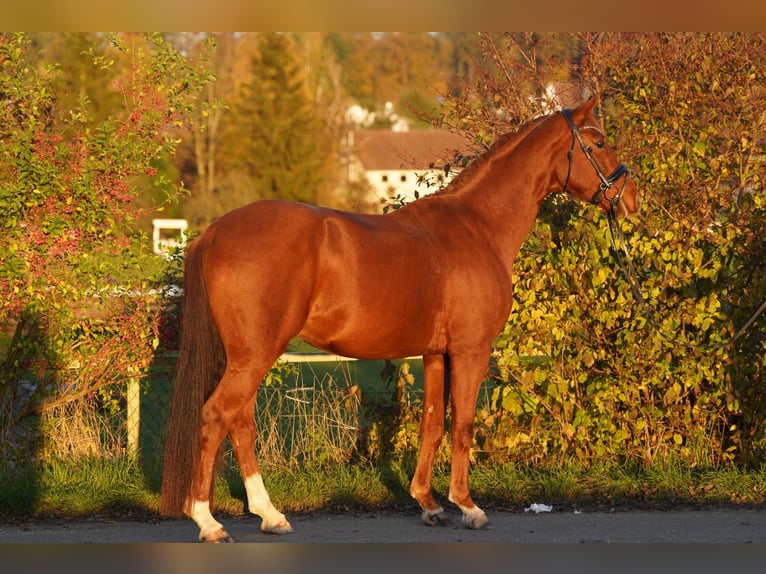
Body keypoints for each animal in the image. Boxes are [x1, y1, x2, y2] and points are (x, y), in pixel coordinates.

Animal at [160, 97, 640, 544]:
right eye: (599, 143)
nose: (631, 199)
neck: (477, 226)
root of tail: (215, 231)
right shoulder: (470, 350)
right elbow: (463, 425)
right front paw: (468, 506)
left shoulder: (434, 353)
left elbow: (432, 423)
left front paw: (428, 503)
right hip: (256, 353)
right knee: (217, 416)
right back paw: (208, 521)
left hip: (249, 355)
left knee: (240, 421)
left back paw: (269, 514)